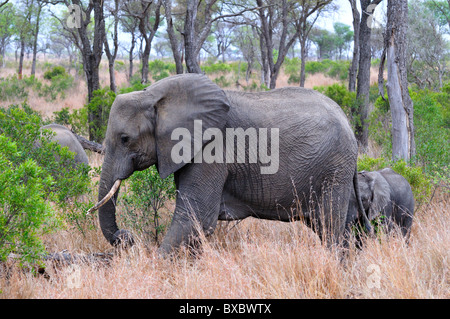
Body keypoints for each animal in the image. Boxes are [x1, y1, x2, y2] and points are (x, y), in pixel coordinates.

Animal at [89, 74, 372, 256]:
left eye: (125, 139)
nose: (125, 237)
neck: (154, 95)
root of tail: (347, 122)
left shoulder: (212, 150)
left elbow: (194, 217)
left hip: (334, 169)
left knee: (330, 226)